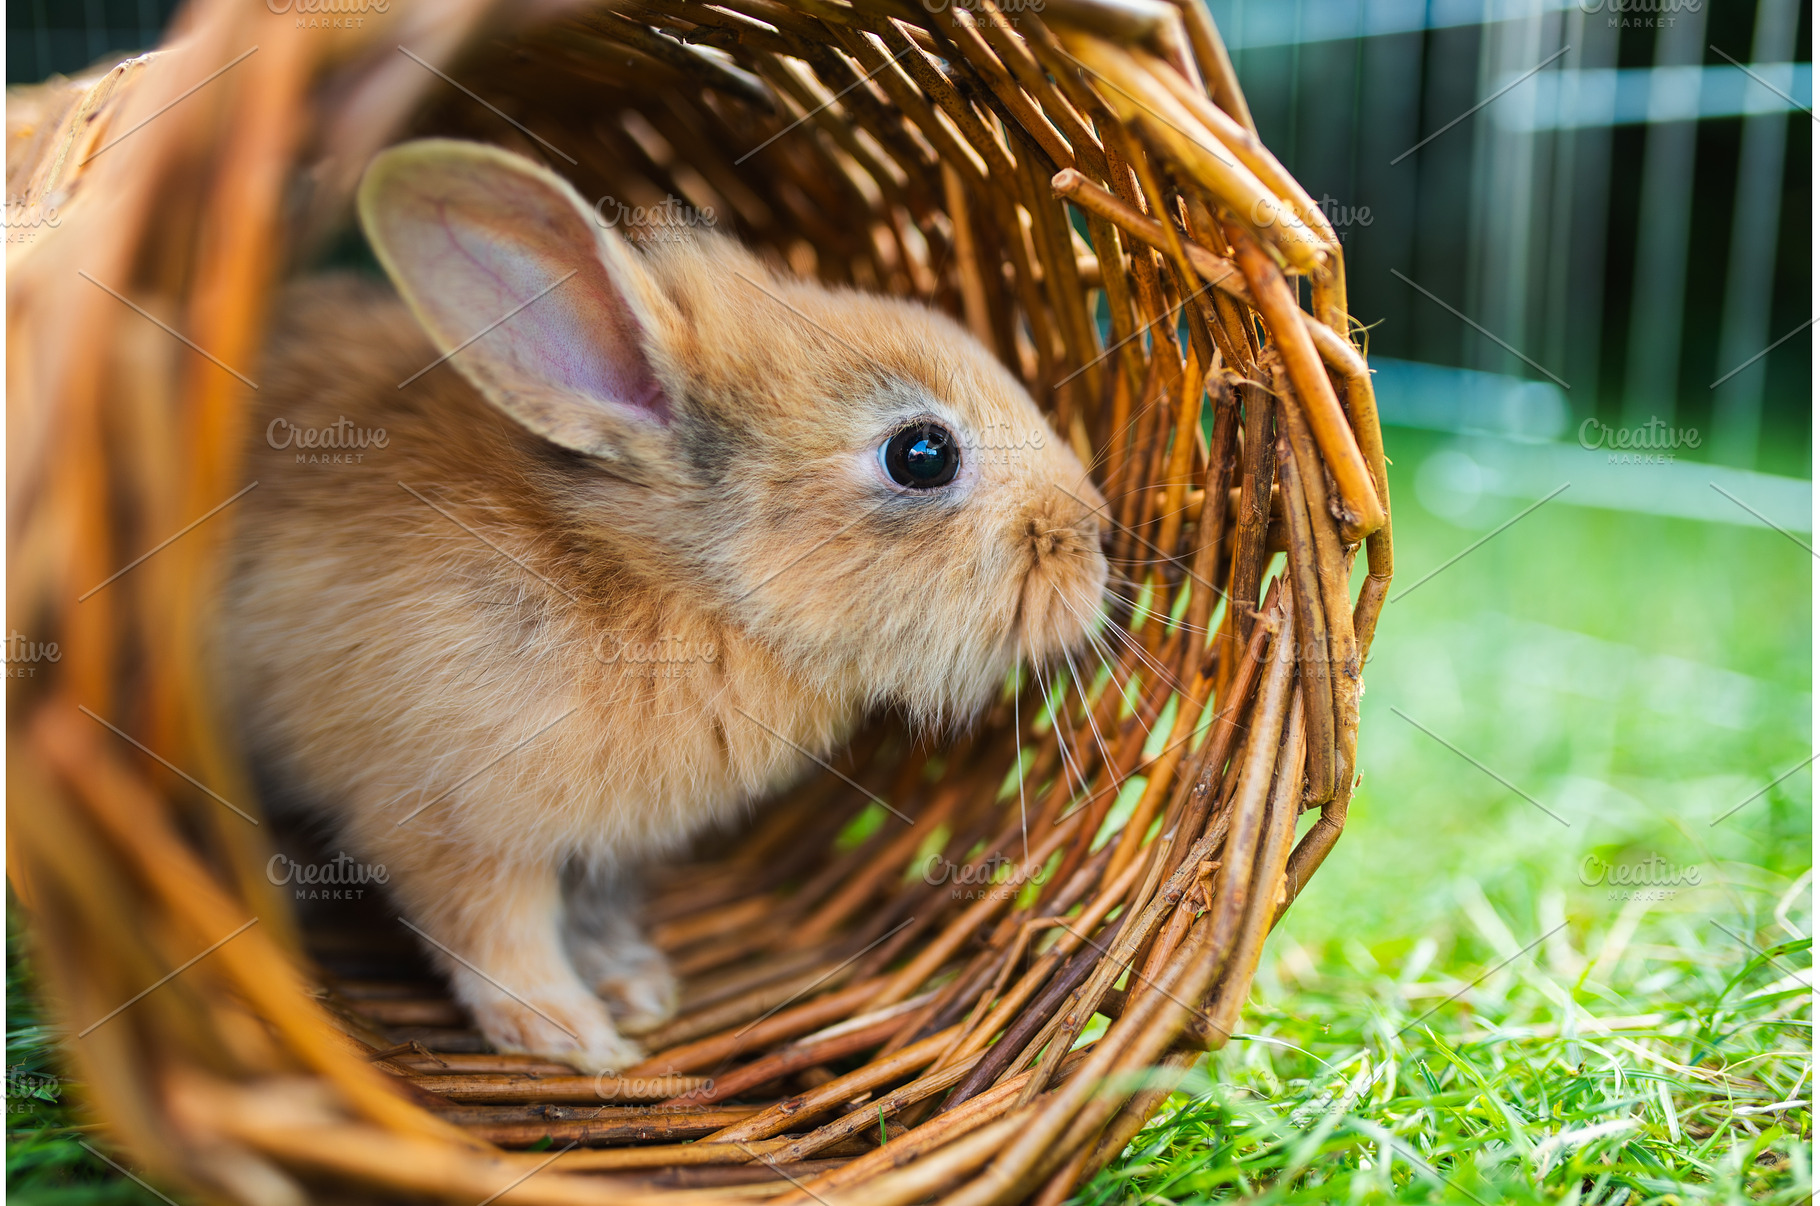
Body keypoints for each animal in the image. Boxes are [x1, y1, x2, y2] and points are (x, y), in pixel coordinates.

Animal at [220, 138, 1110, 1072]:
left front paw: (636, 988)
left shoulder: (602, 851)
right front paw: (572, 1034)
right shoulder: (448, 821)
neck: (675, 584)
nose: (1096, 537)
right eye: (923, 454)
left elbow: (590, 911)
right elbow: (494, 929)